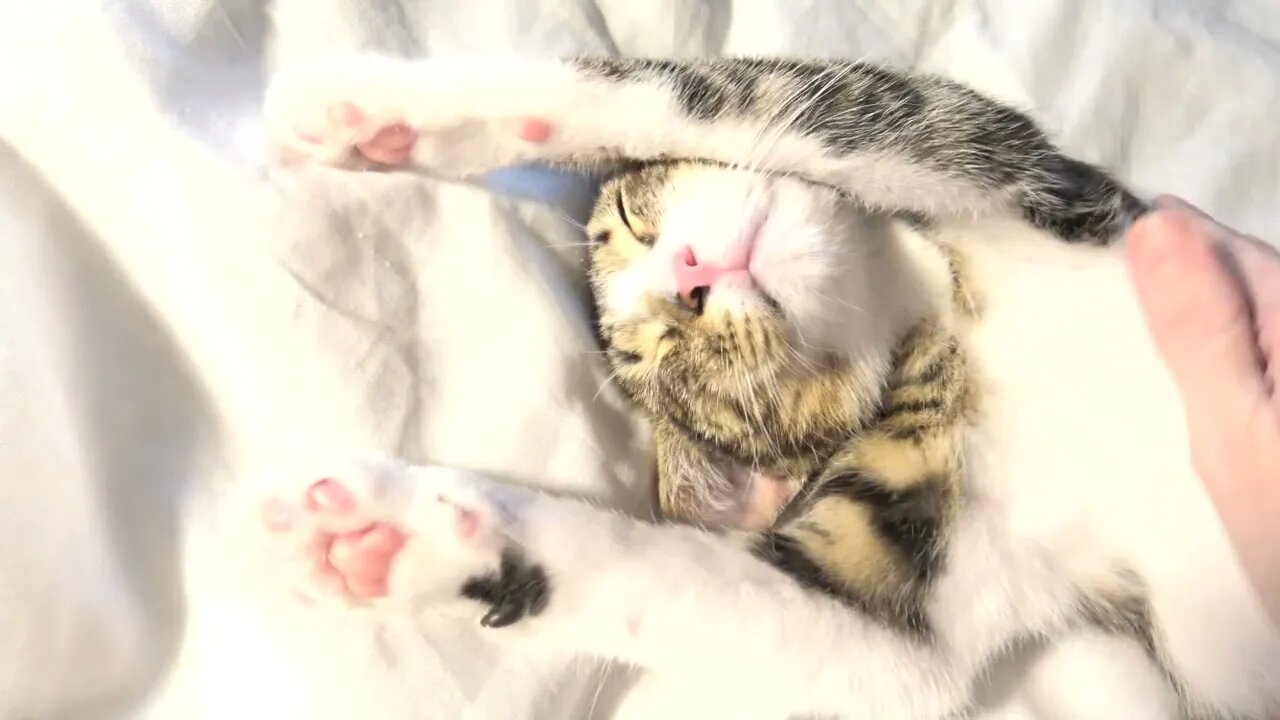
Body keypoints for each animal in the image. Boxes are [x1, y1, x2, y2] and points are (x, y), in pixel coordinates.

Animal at [254, 57, 1274, 717]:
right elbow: (836, 638)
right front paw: (391, 536)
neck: (937, 314)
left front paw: (375, 108)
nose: (689, 279)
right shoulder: (910, 573)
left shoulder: (985, 150)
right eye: (671, 357)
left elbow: (702, 97)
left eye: (632, 218)